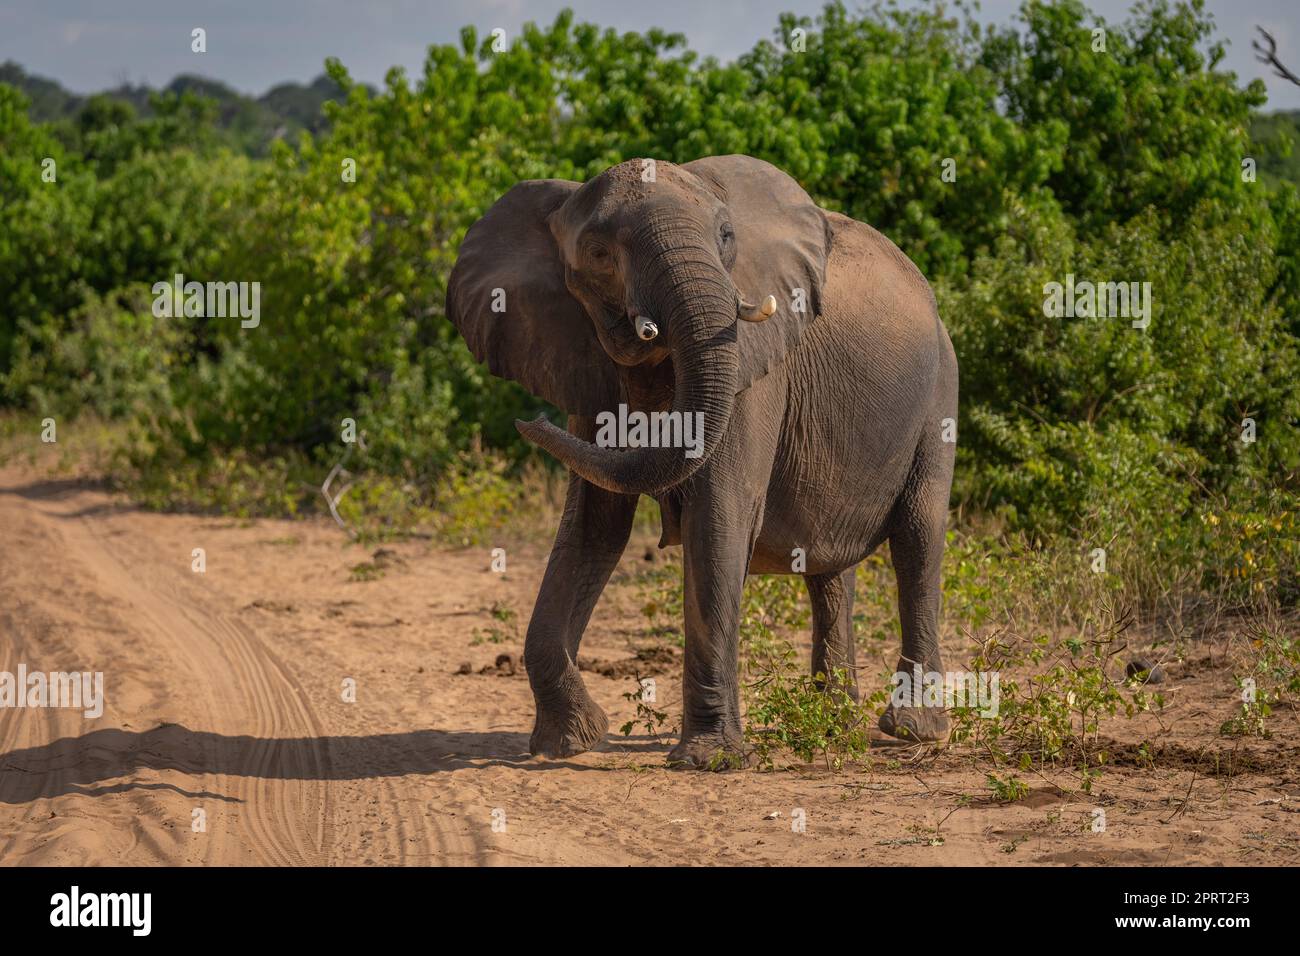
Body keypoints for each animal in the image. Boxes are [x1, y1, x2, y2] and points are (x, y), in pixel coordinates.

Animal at [446, 155, 957, 768]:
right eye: (597, 253)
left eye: (726, 236)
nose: (532, 422)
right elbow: (593, 527)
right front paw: (568, 743)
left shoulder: (753, 367)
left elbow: (718, 517)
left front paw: (709, 761)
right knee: (830, 571)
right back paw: (834, 726)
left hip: (940, 392)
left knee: (918, 537)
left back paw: (914, 730)